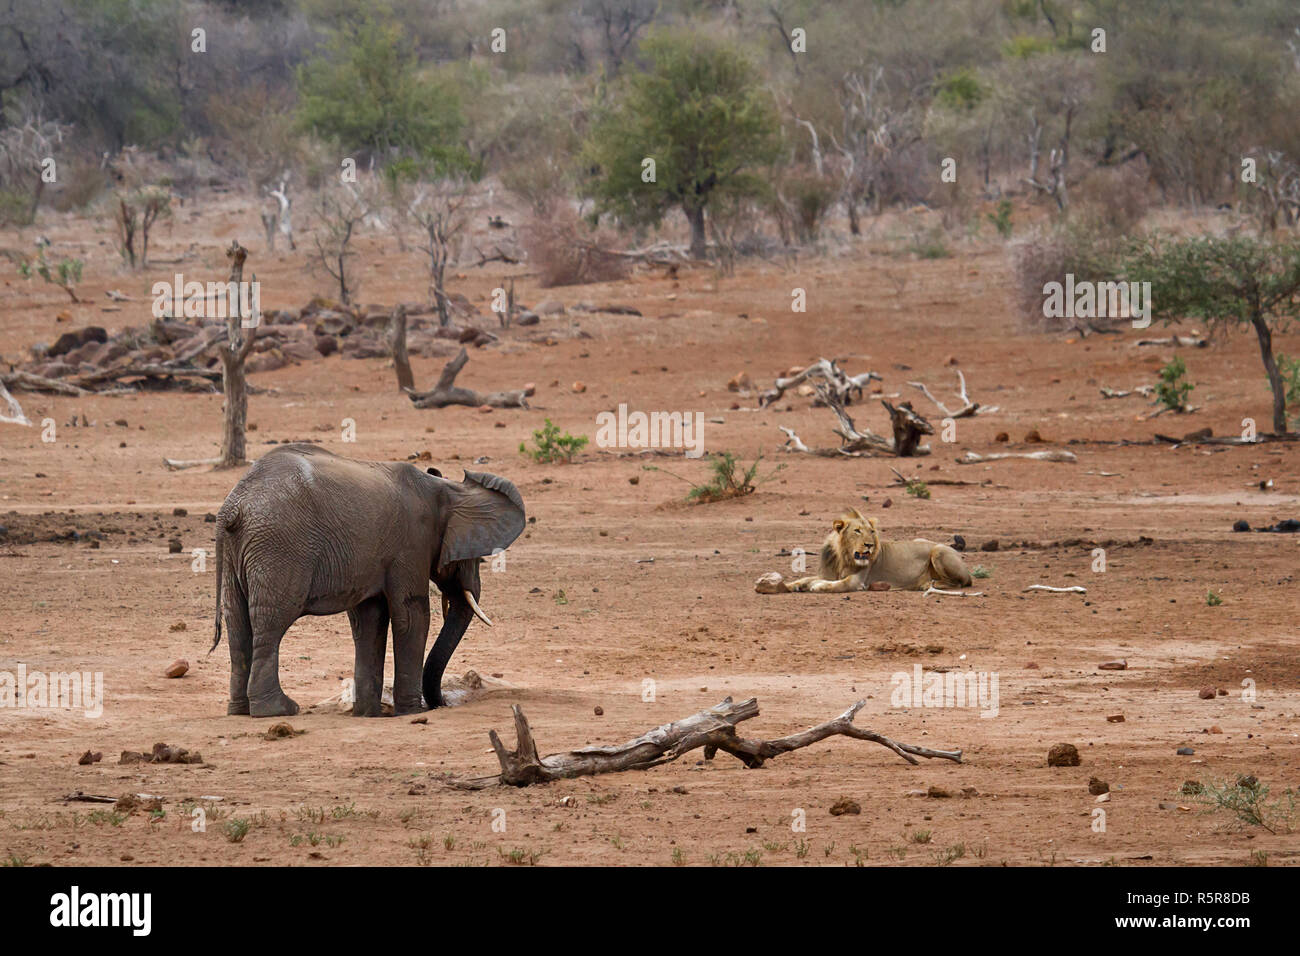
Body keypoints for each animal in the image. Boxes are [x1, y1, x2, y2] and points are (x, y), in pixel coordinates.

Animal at [208, 444, 522, 712]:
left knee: (238, 625)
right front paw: (410, 712)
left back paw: (239, 711)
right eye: (472, 556)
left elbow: (369, 620)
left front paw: (369, 713)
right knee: (271, 624)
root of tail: (233, 506)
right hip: (279, 548)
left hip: (238, 551)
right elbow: (412, 614)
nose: (442, 704)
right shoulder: (412, 544)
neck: (445, 489)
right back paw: (278, 710)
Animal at [759, 509, 972, 590]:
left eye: (872, 532)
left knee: (958, 583)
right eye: (857, 531)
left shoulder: (857, 581)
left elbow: (838, 584)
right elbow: (803, 579)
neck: (843, 557)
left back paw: (927, 584)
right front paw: (788, 586)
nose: (869, 544)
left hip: (938, 551)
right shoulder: (828, 573)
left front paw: (817, 586)